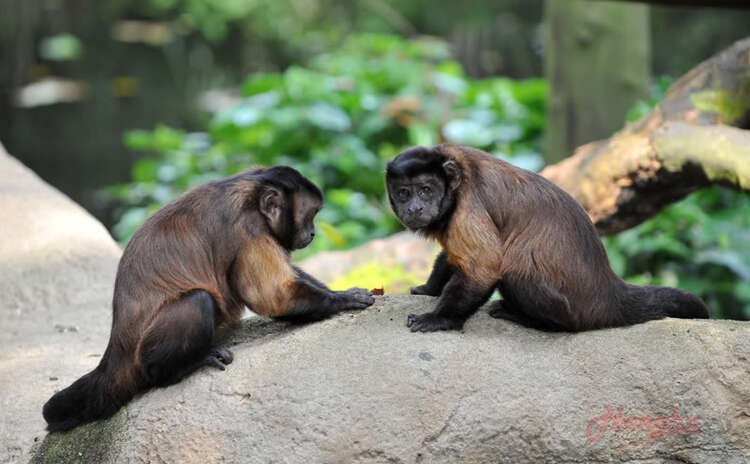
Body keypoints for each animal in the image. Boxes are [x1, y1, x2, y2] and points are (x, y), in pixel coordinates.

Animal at [42, 167, 374, 432]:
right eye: (311, 215)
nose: (314, 233)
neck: (252, 191)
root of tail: (116, 349)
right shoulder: (249, 226)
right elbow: (272, 296)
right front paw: (343, 299)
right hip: (143, 353)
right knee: (198, 301)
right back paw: (177, 368)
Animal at [388, 145, 712, 334]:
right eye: (404, 193)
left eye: (426, 190)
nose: (414, 208)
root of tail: (608, 292)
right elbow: (455, 257)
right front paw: (428, 288)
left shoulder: (468, 204)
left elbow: (485, 266)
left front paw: (441, 319)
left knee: (514, 269)